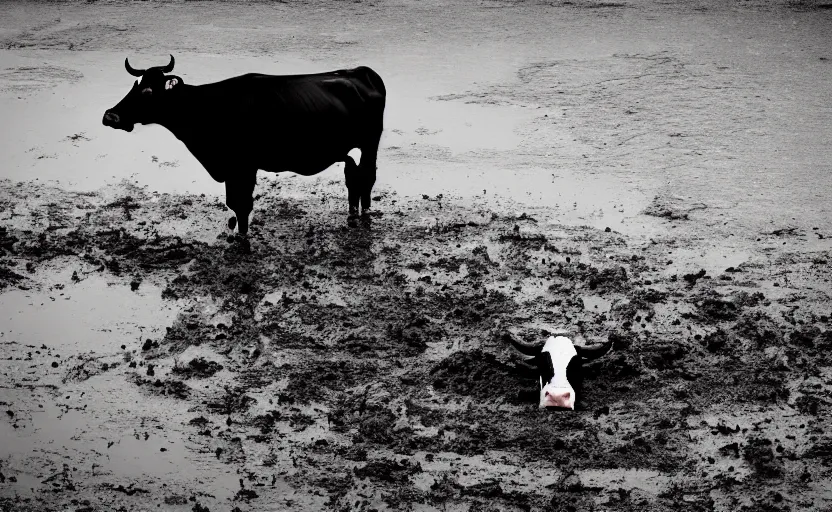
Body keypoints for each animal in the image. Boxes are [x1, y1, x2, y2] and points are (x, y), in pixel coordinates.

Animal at [102, 55, 386, 235]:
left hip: (371, 142)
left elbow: (242, 204)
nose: (110, 116)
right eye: (134, 85)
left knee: (366, 177)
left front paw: (242, 235)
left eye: (148, 92)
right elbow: (234, 202)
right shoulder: (230, 168)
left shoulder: (244, 166)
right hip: (350, 149)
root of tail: (362, 72)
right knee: (354, 177)